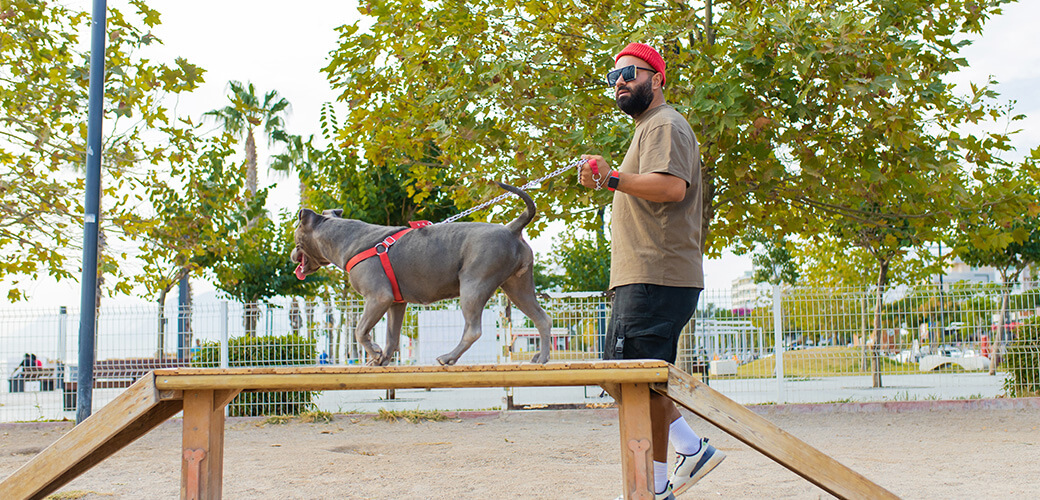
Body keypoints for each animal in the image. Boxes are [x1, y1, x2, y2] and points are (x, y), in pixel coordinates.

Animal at [293, 180, 553, 363]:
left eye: (296, 240)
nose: (292, 255)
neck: (343, 237)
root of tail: (511, 229)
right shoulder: (395, 303)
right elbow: (392, 336)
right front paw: (381, 359)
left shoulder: (378, 297)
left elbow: (359, 329)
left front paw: (374, 352)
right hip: (518, 287)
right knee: (543, 319)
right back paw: (541, 358)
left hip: (474, 285)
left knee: (473, 330)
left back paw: (448, 358)